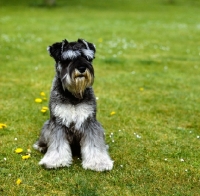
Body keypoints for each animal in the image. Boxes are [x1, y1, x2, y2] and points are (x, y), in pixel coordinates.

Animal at [33, 39, 113, 171]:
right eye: (68, 59)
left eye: (87, 58)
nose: (82, 68)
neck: (73, 95)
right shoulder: (58, 123)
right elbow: (57, 145)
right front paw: (55, 161)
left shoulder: (90, 122)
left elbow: (94, 144)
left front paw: (98, 162)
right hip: (46, 127)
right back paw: (41, 146)